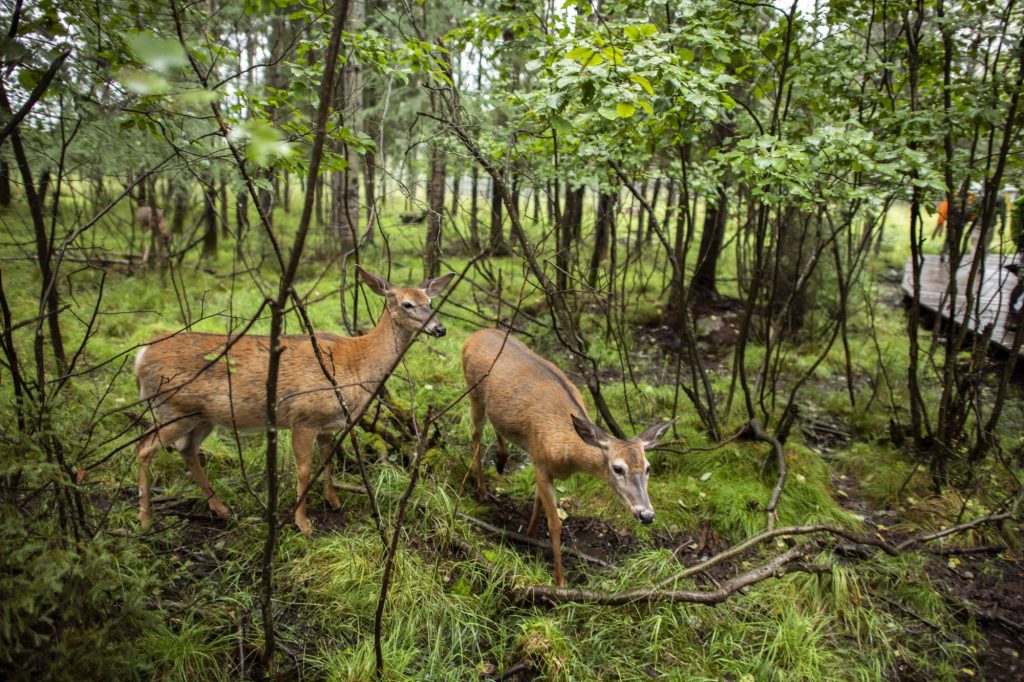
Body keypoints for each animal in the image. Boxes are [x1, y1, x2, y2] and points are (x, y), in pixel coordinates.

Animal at [134, 266, 454, 532]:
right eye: (407, 304)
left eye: (430, 301)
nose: (440, 329)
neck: (357, 362)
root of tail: (141, 356)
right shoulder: (304, 417)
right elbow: (304, 470)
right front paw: (303, 524)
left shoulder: (328, 423)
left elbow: (327, 463)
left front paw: (333, 502)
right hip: (173, 407)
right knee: (144, 448)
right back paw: (146, 519)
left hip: (201, 416)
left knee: (186, 449)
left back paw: (221, 509)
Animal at [462, 327, 671, 585]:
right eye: (617, 468)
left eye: (648, 467)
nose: (647, 514)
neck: (566, 454)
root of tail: (474, 335)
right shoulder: (540, 461)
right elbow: (555, 522)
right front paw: (560, 580)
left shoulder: (539, 461)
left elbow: (538, 501)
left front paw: (530, 535)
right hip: (473, 392)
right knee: (475, 434)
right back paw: (482, 491)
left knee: (495, 426)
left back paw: (501, 461)